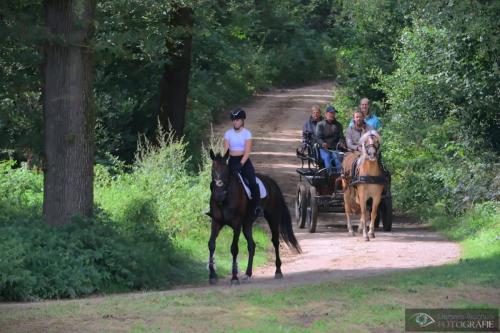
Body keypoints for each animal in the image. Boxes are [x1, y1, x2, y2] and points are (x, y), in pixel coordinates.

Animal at [207, 149, 300, 284]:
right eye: (213, 171)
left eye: (226, 172)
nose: (219, 195)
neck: (225, 198)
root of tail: (271, 182)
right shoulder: (216, 222)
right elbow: (211, 244)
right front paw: (212, 275)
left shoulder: (236, 225)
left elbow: (234, 248)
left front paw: (234, 277)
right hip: (247, 224)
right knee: (252, 245)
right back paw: (248, 273)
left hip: (272, 218)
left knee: (275, 241)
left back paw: (278, 271)